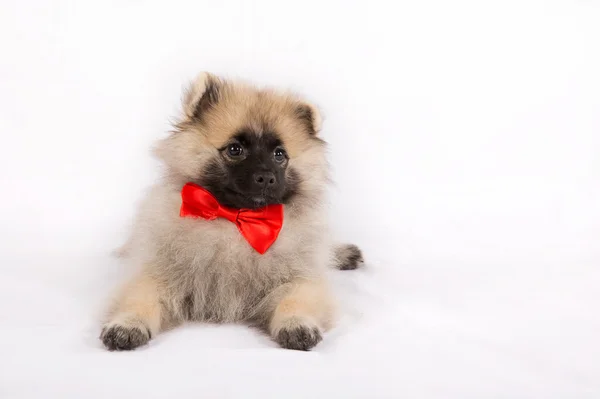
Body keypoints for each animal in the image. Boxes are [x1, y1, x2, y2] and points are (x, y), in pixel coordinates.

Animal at [101, 73, 364, 352]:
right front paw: (127, 325)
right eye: (235, 149)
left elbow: (296, 301)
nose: (266, 177)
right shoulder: (157, 274)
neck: (237, 222)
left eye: (279, 155)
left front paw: (297, 324)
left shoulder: (301, 278)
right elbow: (139, 300)